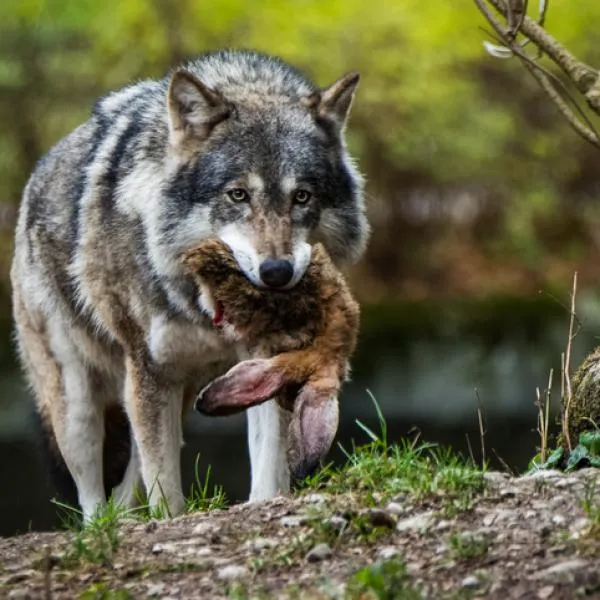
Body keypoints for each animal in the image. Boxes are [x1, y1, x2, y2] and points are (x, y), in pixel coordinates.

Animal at [11, 51, 368, 520]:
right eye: (238, 195)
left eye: (302, 197)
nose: (276, 272)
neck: (204, 308)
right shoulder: (150, 371)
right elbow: (165, 494)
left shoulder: (264, 362)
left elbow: (268, 465)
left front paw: (264, 503)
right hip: (79, 404)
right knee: (92, 500)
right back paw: (101, 525)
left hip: (177, 396)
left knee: (128, 484)